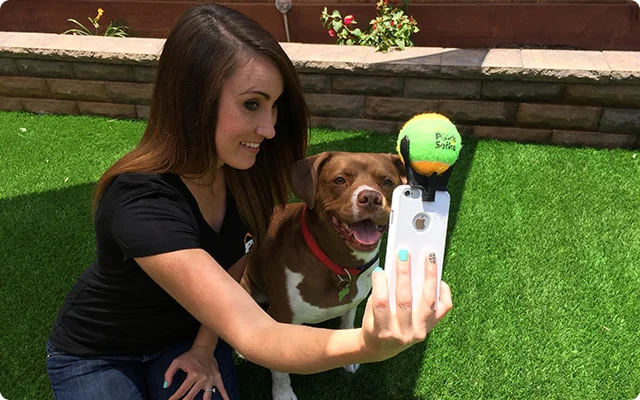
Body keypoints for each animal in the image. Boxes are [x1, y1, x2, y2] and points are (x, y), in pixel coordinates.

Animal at [241, 151, 406, 400]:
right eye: (339, 180)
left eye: (387, 181)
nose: (370, 198)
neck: (339, 266)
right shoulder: (281, 317)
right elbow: (279, 368)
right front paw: (283, 393)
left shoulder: (352, 301)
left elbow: (347, 322)